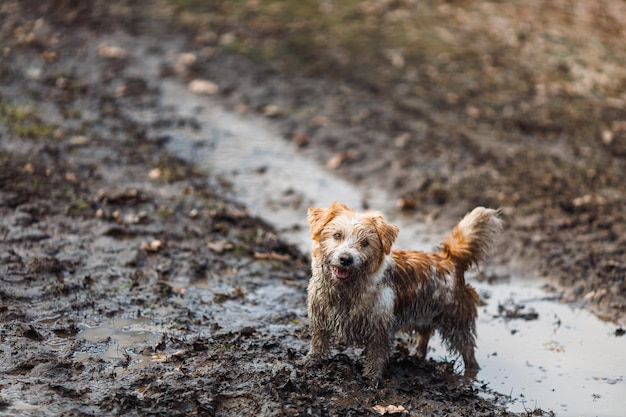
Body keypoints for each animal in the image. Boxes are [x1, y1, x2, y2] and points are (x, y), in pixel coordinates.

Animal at [302, 202, 502, 380]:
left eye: (365, 243)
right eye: (337, 235)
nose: (345, 259)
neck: (346, 290)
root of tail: (450, 260)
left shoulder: (380, 327)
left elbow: (376, 354)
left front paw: (372, 377)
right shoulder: (319, 314)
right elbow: (318, 341)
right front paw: (312, 360)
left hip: (455, 321)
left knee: (467, 349)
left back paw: (471, 373)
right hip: (425, 313)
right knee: (425, 334)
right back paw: (417, 354)